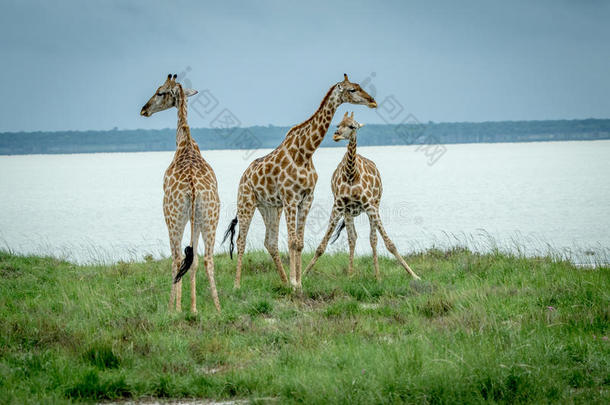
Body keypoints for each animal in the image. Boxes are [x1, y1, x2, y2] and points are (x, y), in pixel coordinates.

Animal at [140, 73, 221, 312]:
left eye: (160, 92)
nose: (144, 110)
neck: (184, 141)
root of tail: (193, 188)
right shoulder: (198, 219)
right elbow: (194, 261)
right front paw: (193, 308)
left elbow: (180, 259)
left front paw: (176, 308)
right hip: (209, 216)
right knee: (207, 258)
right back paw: (217, 308)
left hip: (173, 216)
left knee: (176, 258)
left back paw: (173, 309)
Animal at [223, 72, 376, 288]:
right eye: (352, 89)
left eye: (359, 86)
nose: (372, 101)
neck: (305, 152)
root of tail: (244, 175)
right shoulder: (290, 198)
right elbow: (292, 241)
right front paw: (295, 283)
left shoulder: (306, 199)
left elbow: (300, 243)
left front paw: (297, 283)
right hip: (246, 202)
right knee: (241, 241)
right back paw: (237, 285)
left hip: (269, 207)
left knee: (270, 242)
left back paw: (283, 280)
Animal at [302, 112, 418, 280]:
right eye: (338, 125)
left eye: (352, 126)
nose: (336, 135)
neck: (351, 174)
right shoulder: (339, 206)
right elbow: (323, 245)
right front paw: (303, 273)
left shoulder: (369, 205)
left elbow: (389, 243)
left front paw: (414, 275)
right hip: (349, 212)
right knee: (353, 237)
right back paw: (352, 273)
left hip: (375, 205)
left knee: (373, 238)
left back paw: (377, 275)